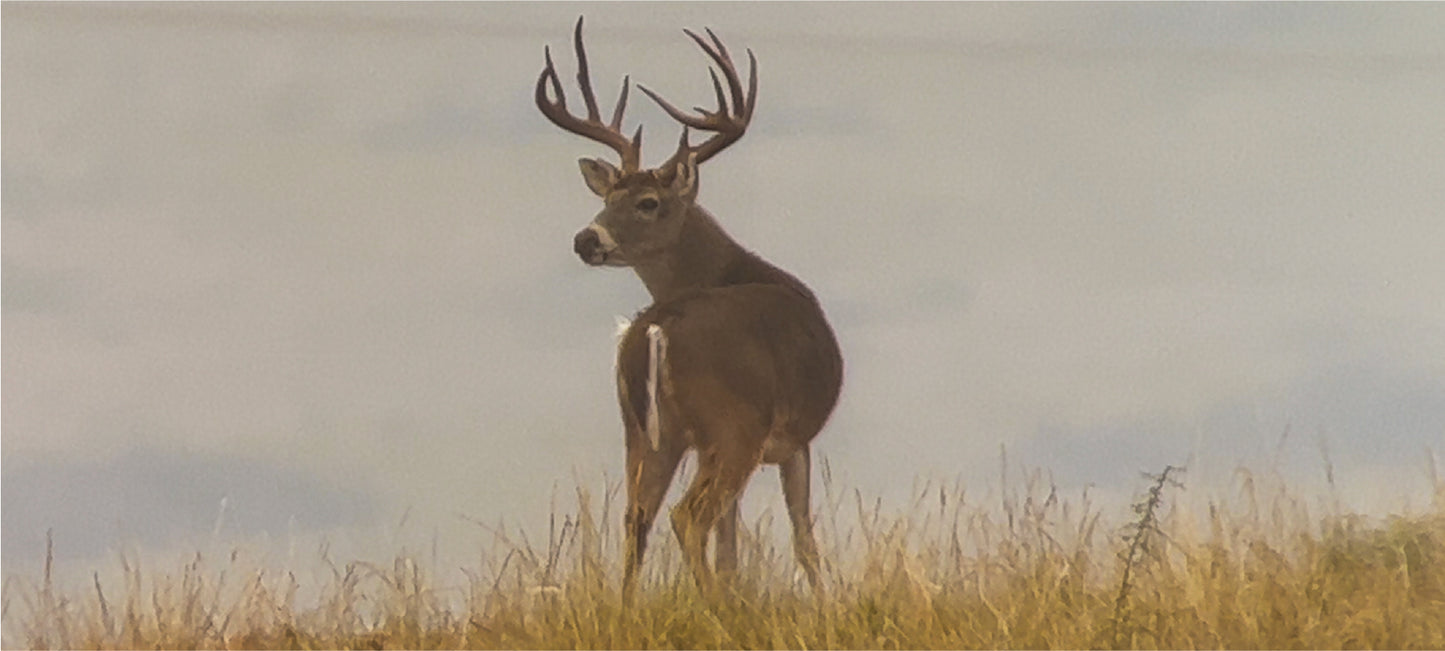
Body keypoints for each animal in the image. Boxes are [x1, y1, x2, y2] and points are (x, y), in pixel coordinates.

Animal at [536, 17, 844, 601]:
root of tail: (659, 325)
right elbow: (803, 536)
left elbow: (736, 545)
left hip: (645, 432)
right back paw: (711, 605)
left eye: (646, 202)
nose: (586, 239)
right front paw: (824, 603)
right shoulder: (794, 438)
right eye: (607, 198)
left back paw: (630, 607)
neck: (727, 268)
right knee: (686, 517)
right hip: (731, 427)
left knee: (637, 519)